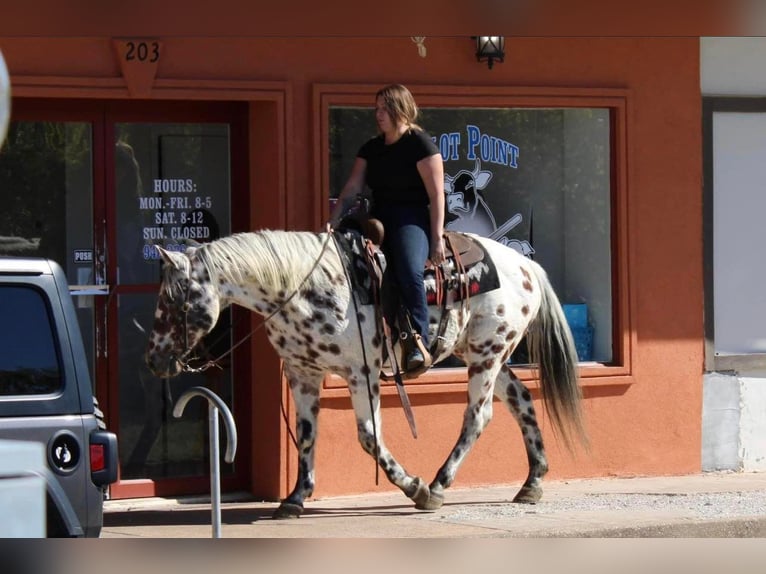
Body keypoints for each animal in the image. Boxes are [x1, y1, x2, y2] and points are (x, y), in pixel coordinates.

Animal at [144, 230, 588, 520]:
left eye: (174, 301)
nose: (154, 359)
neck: (304, 288)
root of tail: (526, 264)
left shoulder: (362, 373)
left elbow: (369, 437)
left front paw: (415, 487)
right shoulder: (303, 373)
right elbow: (307, 435)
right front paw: (295, 498)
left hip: (486, 354)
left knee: (478, 417)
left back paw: (439, 485)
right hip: (485, 353)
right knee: (521, 401)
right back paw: (532, 482)